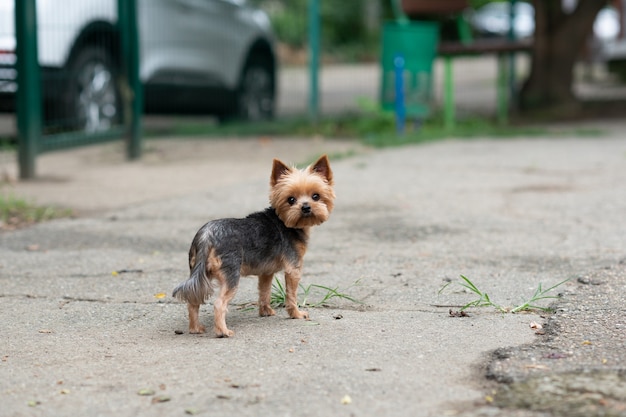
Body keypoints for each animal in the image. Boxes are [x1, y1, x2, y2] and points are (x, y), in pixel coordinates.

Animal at [172, 154, 332, 336]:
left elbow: (264, 292)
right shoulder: (293, 269)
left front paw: (265, 312)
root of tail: (207, 235)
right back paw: (223, 332)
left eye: (316, 196)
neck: (285, 221)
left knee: (193, 300)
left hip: (199, 272)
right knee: (219, 303)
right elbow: (291, 295)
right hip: (231, 275)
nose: (305, 207)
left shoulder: (266, 272)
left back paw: (195, 328)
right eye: (291, 199)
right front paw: (296, 314)